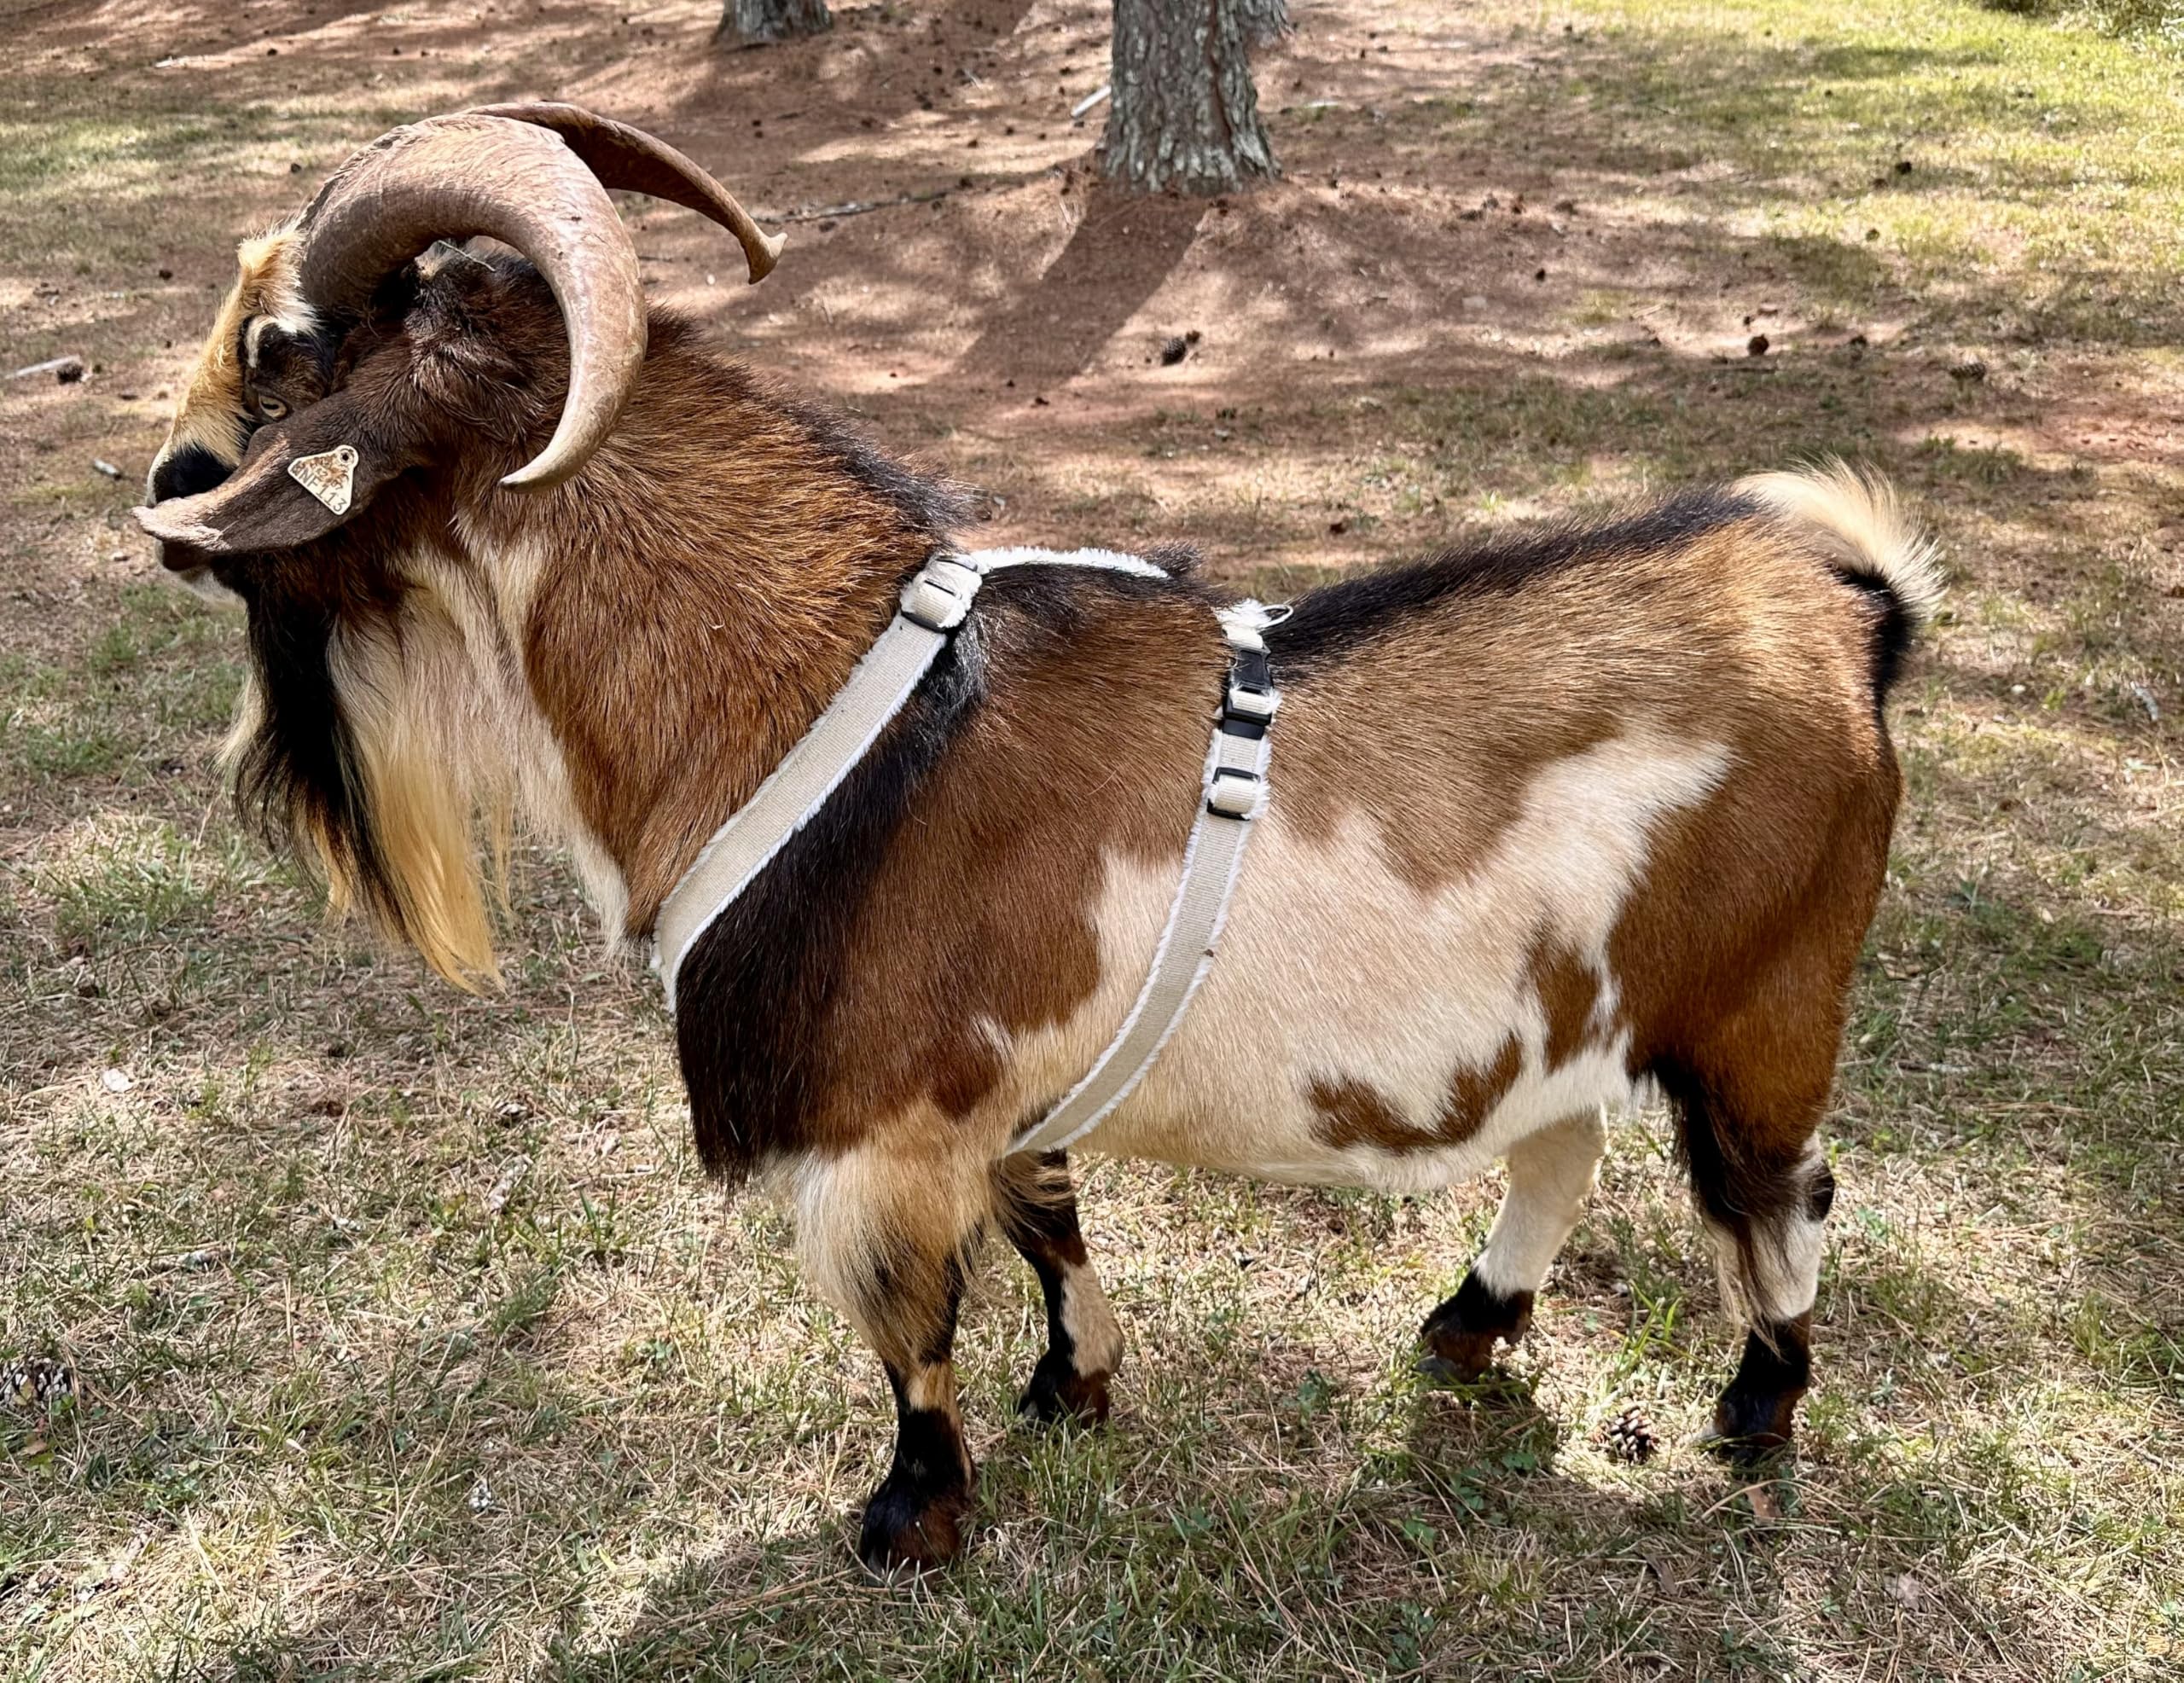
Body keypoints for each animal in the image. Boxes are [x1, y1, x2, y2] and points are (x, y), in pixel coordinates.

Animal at [138, 105, 1939, 1574]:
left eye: (281, 345)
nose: (165, 481)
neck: (801, 681)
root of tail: (1844, 618)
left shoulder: (885, 1120)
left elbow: (910, 1319)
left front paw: (912, 1517)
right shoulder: (998, 1089)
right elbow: (1046, 1221)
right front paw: (1074, 1385)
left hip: (1763, 1003)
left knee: (1777, 1190)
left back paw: (1754, 1412)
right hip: (1580, 1008)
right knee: (1563, 1145)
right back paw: (1465, 1326)